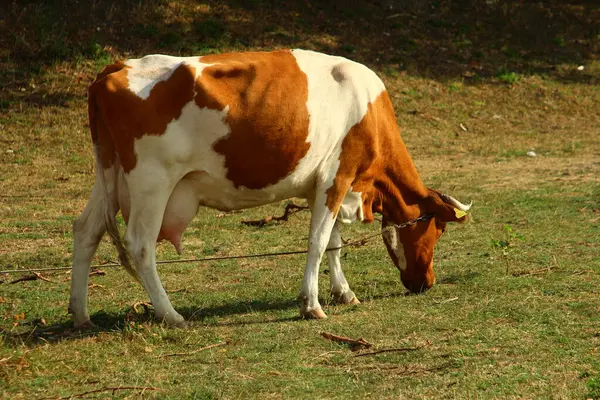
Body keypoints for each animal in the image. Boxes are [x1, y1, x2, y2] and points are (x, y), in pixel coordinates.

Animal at [70, 48, 472, 328]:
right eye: (437, 229)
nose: (427, 282)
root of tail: (115, 68)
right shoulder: (337, 177)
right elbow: (318, 242)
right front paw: (312, 304)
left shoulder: (326, 185)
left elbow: (334, 242)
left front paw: (343, 291)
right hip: (151, 182)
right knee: (140, 245)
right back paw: (171, 314)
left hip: (110, 179)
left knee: (86, 231)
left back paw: (80, 314)